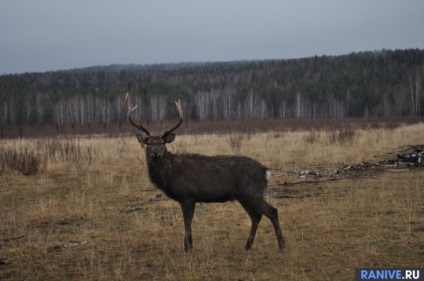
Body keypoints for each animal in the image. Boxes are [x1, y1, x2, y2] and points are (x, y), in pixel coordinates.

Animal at [126, 92, 284, 252]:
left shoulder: (187, 195)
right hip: (243, 196)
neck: (170, 176)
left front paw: (187, 248)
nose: (156, 153)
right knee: (256, 216)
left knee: (272, 211)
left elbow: (187, 222)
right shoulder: (187, 198)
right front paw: (188, 246)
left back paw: (281, 246)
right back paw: (247, 246)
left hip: (252, 192)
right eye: (149, 143)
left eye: (162, 143)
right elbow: (187, 222)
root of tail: (265, 171)